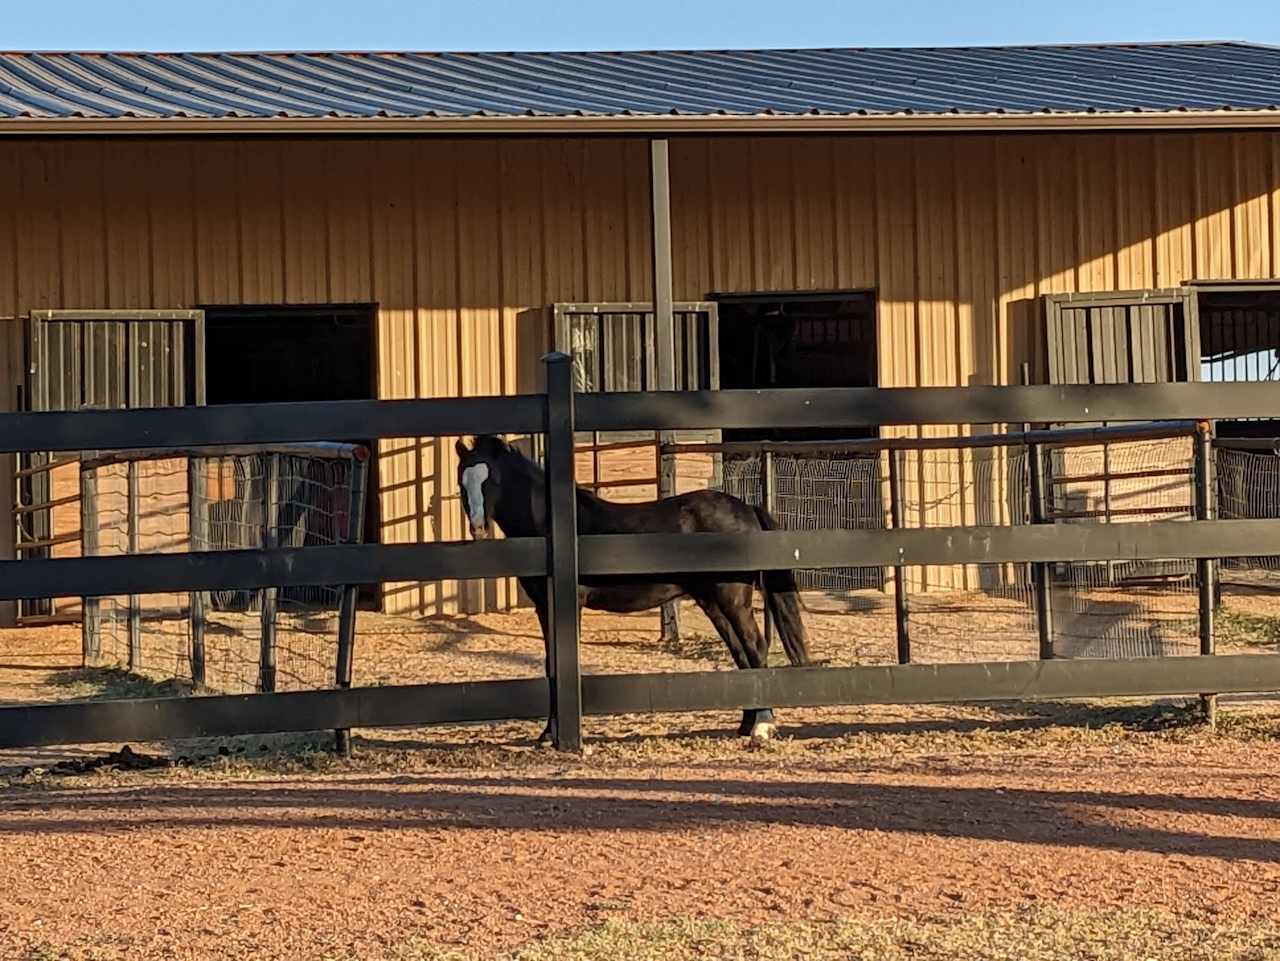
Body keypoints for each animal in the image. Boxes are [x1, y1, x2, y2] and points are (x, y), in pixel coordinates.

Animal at [455, 435, 808, 742]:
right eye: (462, 483)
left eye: (492, 481)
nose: (478, 529)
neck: (552, 530)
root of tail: (747, 509)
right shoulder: (544, 605)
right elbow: (549, 663)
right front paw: (546, 735)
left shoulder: (569, 604)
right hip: (711, 600)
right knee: (740, 653)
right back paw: (745, 725)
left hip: (731, 597)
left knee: (754, 646)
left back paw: (762, 727)